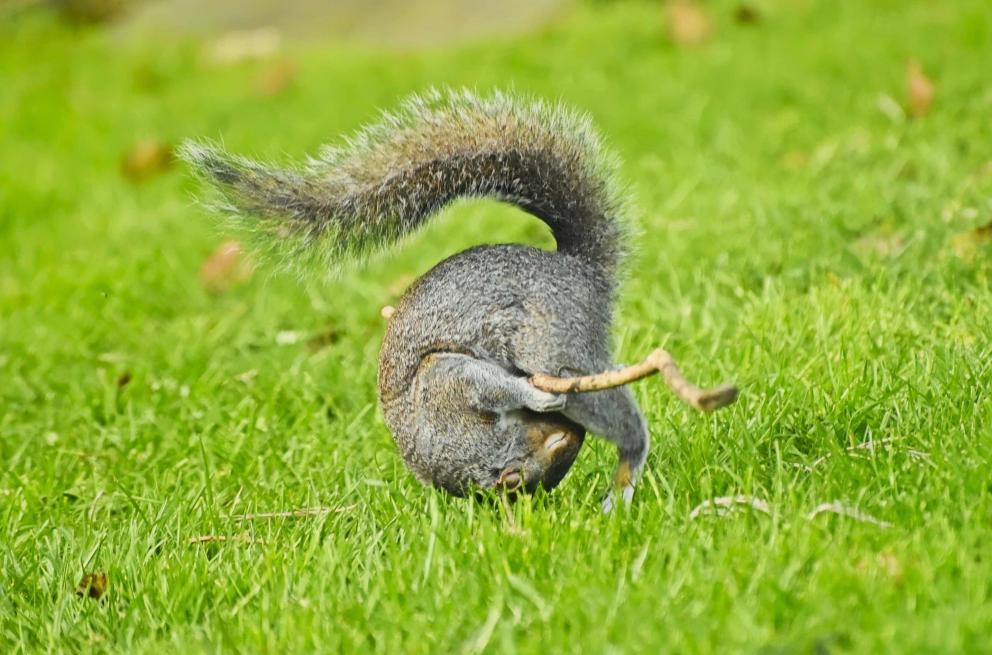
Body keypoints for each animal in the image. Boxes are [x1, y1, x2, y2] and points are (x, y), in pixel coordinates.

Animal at [181, 89, 648, 510]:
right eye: (518, 482)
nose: (572, 435)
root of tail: (580, 269)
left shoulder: (445, 382)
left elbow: (488, 384)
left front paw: (534, 396)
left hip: (551, 343)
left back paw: (625, 473)